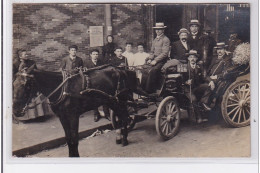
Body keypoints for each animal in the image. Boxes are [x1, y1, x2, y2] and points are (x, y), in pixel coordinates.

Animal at [13, 63, 148, 157]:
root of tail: (121, 70)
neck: (61, 88)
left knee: (125, 117)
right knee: (122, 117)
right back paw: (120, 137)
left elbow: (74, 139)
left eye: (27, 85)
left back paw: (124, 139)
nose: (16, 110)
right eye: (13, 84)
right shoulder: (62, 117)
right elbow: (68, 139)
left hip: (120, 100)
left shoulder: (73, 116)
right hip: (112, 101)